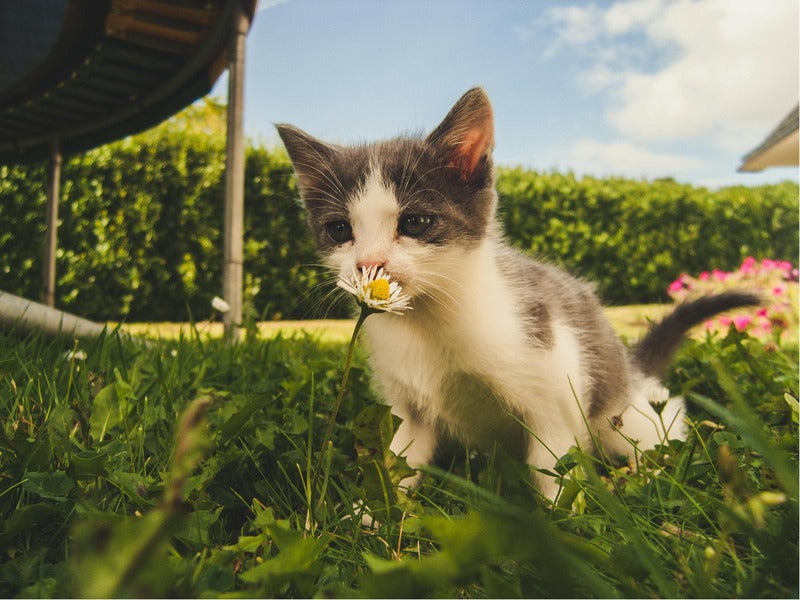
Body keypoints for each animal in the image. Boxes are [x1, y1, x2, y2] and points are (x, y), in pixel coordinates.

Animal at [278, 85, 760, 496]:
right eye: (340, 230)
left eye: (414, 222)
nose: (368, 264)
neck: (429, 319)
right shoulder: (408, 407)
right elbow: (400, 460)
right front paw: (369, 517)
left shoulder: (555, 384)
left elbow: (553, 467)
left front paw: (565, 527)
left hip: (620, 412)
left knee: (660, 422)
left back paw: (646, 475)